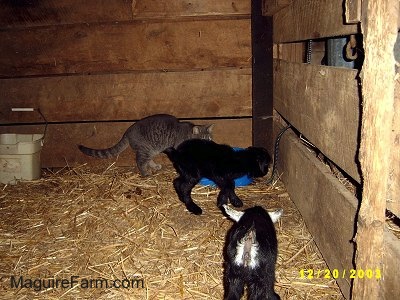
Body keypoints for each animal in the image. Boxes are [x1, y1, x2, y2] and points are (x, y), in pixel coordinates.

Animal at [79, 114, 214, 176]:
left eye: (209, 139)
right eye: (202, 140)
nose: (207, 146)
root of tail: (128, 131)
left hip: (152, 149)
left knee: (148, 160)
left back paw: (154, 166)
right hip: (146, 149)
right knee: (140, 162)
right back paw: (145, 173)